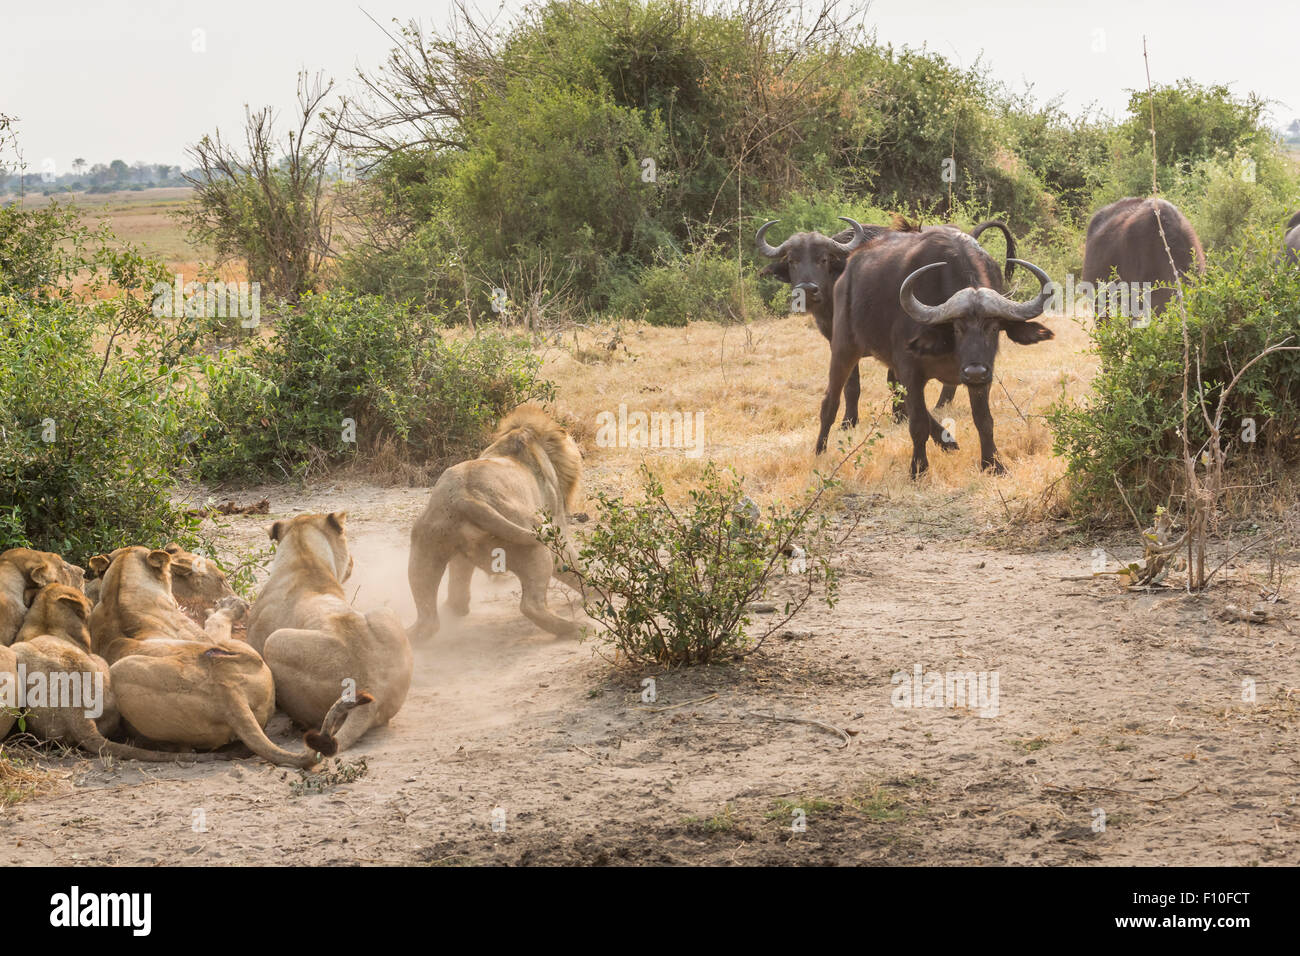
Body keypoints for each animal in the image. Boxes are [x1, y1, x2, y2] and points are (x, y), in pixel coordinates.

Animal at [410, 405, 585, 642]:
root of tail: (465, 497)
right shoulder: (557, 522)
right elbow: (578, 568)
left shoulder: (459, 557)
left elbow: (459, 579)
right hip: (533, 542)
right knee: (531, 605)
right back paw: (577, 628)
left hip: (424, 546)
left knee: (428, 616)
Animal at [811, 227, 1055, 476]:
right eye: (957, 328)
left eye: (994, 328)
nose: (974, 372)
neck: (951, 349)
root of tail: (847, 271)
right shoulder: (911, 371)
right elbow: (917, 424)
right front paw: (918, 468)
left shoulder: (983, 378)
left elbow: (984, 420)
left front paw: (993, 464)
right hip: (843, 347)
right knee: (830, 400)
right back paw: (820, 450)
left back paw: (948, 441)